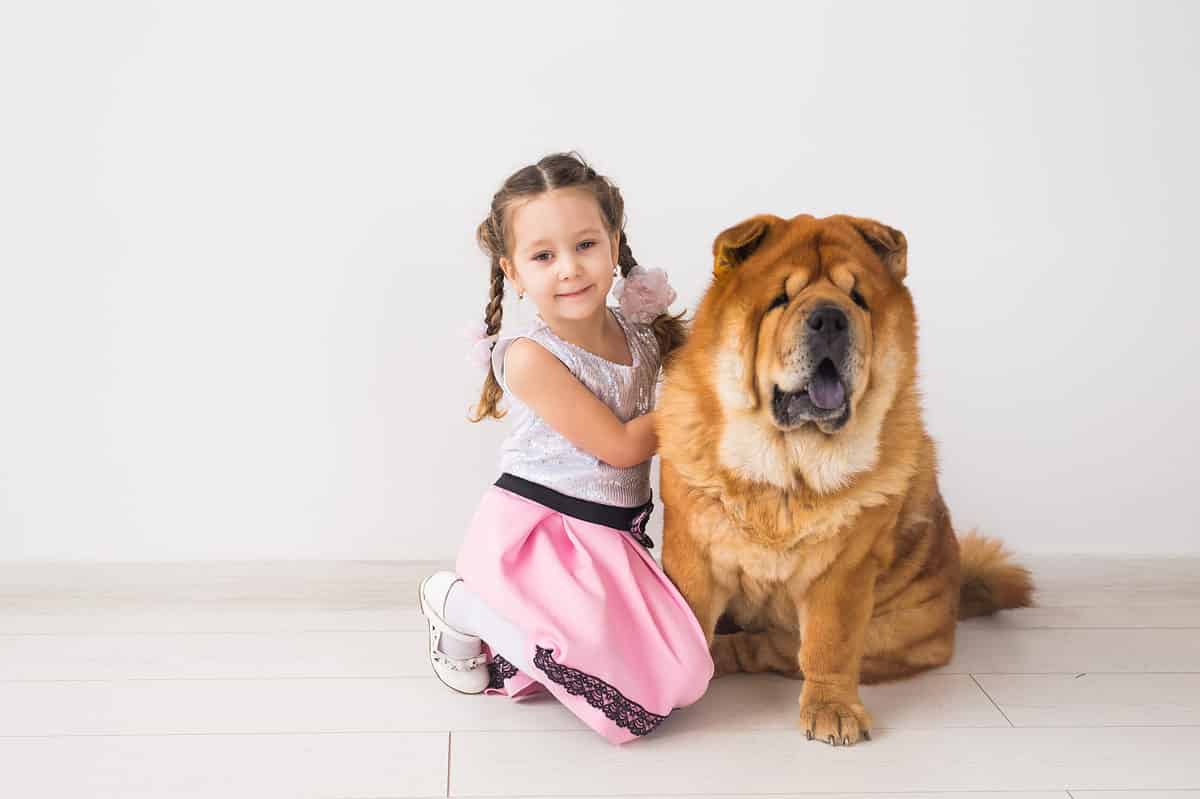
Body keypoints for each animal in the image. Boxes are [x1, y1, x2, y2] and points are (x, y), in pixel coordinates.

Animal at [657, 213, 1032, 748]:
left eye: (857, 298)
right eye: (781, 298)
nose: (830, 318)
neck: (787, 470)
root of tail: (958, 595)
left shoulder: (843, 569)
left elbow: (828, 645)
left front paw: (832, 711)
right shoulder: (694, 551)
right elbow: (685, 620)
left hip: (893, 630)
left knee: (777, 649)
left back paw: (730, 655)